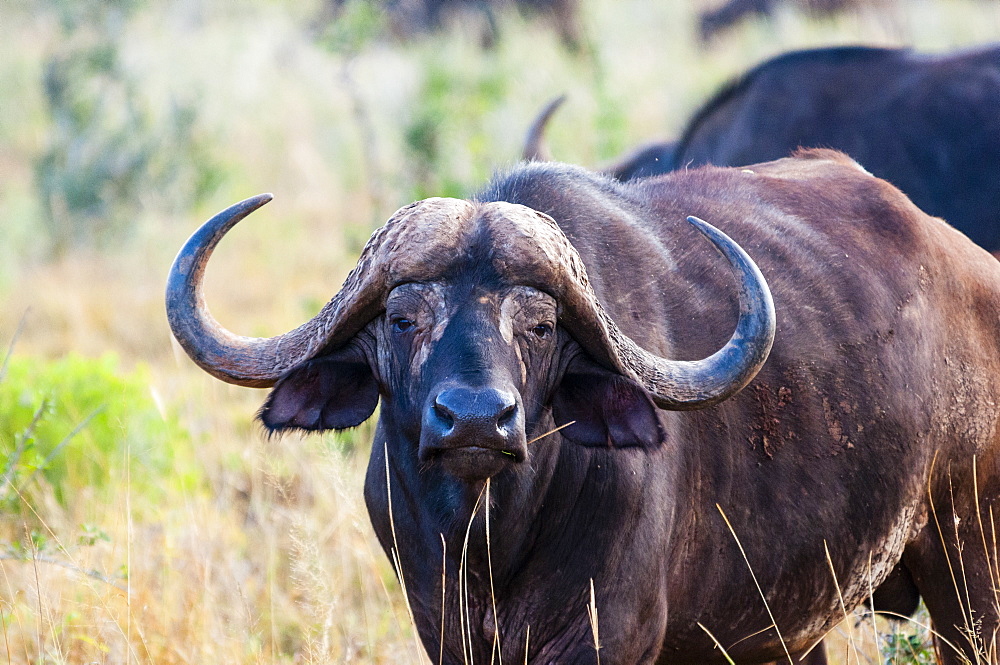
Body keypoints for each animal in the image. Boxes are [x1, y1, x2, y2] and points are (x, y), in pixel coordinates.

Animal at [168, 150, 1000, 664]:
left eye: (539, 326)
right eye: (403, 318)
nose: (476, 419)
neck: (490, 543)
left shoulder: (610, 633)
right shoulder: (443, 628)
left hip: (970, 572)